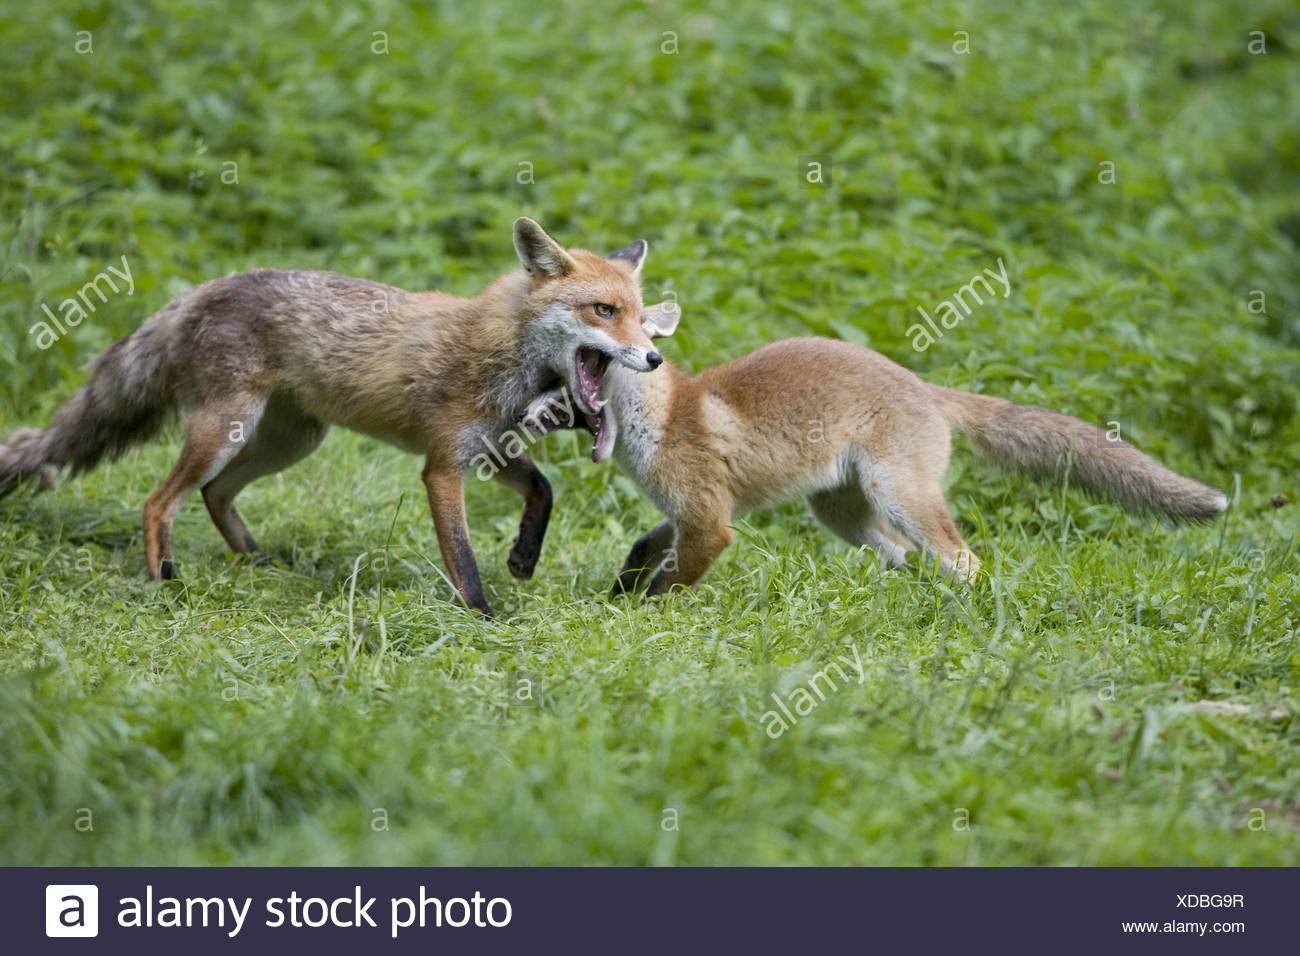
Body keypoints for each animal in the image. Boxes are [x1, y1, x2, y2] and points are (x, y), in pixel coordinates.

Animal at [0, 217, 667, 617]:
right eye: (604, 311)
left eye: (640, 317)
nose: (655, 357)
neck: (500, 354)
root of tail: (204, 288)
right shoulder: (442, 467)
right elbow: (464, 559)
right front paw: (481, 618)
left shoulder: (487, 448)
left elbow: (543, 490)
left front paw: (524, 558)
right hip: (226, 429)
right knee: (158, 501)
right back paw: (167, 581)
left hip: (291, 442)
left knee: (215, 494)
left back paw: (256, 563)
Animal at [522, 324, 1228, 595]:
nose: (526, 411)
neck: (660, 419)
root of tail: (926, 386)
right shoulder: (686, 513)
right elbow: (643, 548)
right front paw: (617, 596)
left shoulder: (709, 520)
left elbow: (670, 581)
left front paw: (643, 617)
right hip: (840, 513)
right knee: (908, 557)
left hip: (898, 494)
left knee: (963, 560)